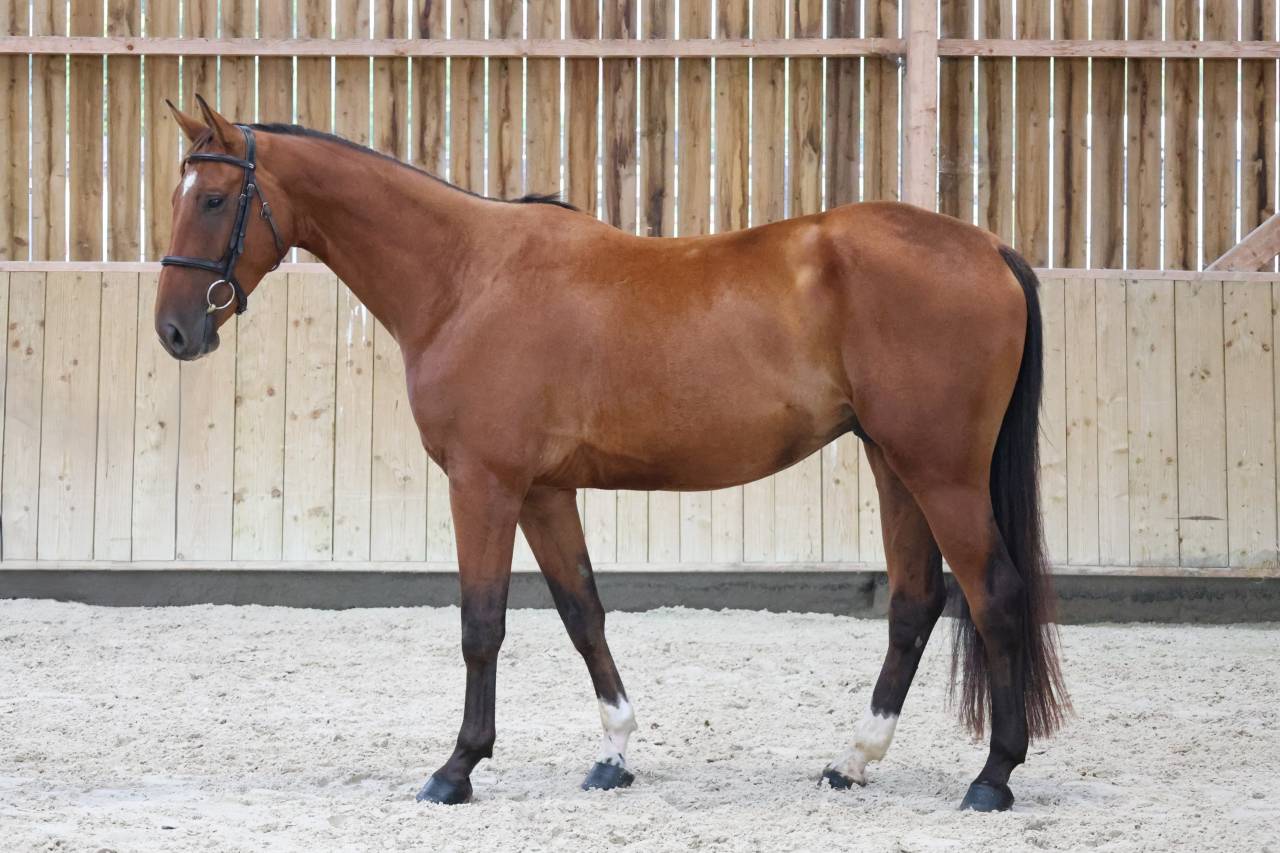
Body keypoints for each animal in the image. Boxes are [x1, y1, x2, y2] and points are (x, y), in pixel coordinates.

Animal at [155, 95, 1068, 812]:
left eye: (214, 197)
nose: (175, 332)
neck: (465, 277)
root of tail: (986, 248)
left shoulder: (484, 484)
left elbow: (481, 623)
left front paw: (457, 768)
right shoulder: (543, 491)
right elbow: (581, 611)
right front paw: (614, 753)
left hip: (941, 472)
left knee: (994, 594)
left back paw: (993, 777)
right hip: (893, 462)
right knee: (916, 601)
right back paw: (854, 761)